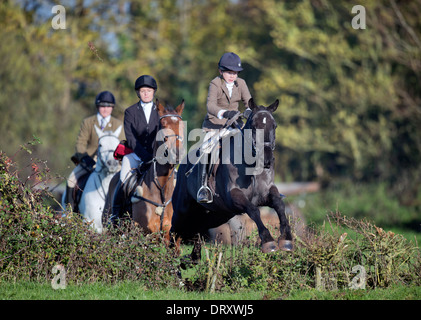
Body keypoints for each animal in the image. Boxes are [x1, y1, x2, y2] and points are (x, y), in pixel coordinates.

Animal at [170, 98, 292, 262]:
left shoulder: (267, 192)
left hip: (218, 214)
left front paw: (286, 238)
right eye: (254, 126)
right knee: (174, 230)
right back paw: (170, 255)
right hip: (182, 210)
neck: (251, 165)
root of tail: (183, 163)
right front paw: (268, 241)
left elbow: (279, 205)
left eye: (274, 126)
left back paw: (194, 257)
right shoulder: (234, 196)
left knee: (199, 228)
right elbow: (254, 210)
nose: (267, 160)